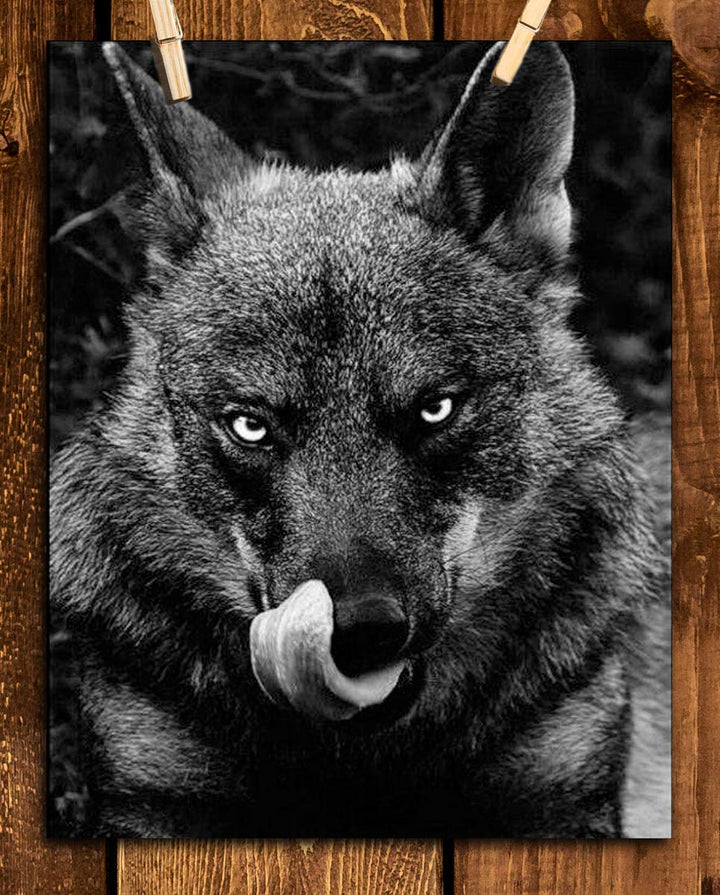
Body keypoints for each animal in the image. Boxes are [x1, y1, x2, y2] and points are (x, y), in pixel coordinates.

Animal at [50, 41, 670, 838]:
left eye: (435, 409)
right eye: (250, 424)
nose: (363, 630)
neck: (365, 766)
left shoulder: (560, 805)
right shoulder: (153, 801)